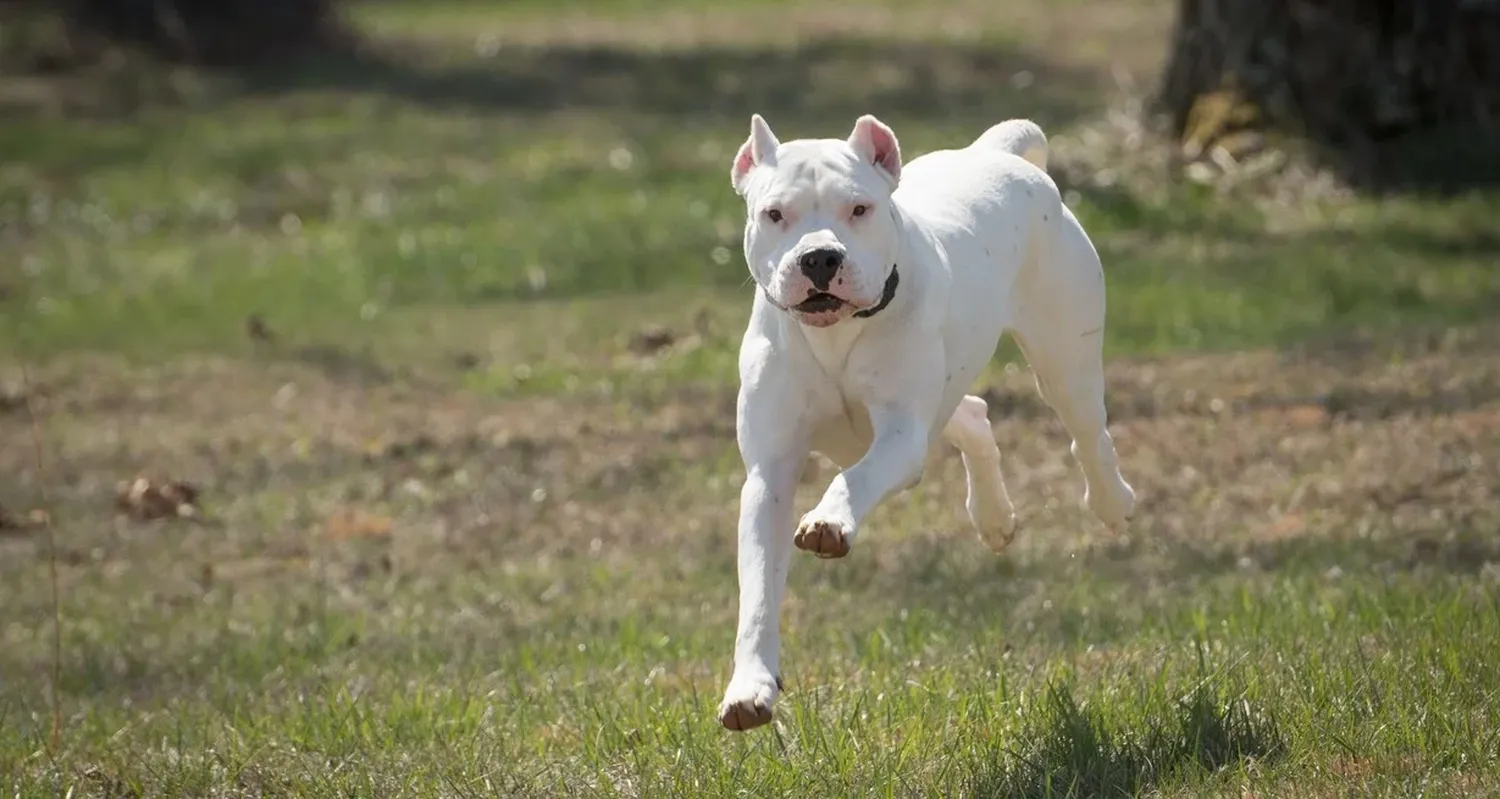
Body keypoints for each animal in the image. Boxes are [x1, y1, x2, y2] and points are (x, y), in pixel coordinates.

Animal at [714, 110, 1134, 728]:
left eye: (859, 209)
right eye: (774, 214)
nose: (819, 258)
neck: (835, 336)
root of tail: (995, 152)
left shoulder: (901, 434)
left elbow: (856, 476)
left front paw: (829, 521)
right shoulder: (770, 473)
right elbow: (759, 594)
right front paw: (750, 688)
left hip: (1063, 358)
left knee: (1088, 433)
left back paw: (1112, 502)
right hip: (951, 392)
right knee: (975, 416)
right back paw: (993, 517)